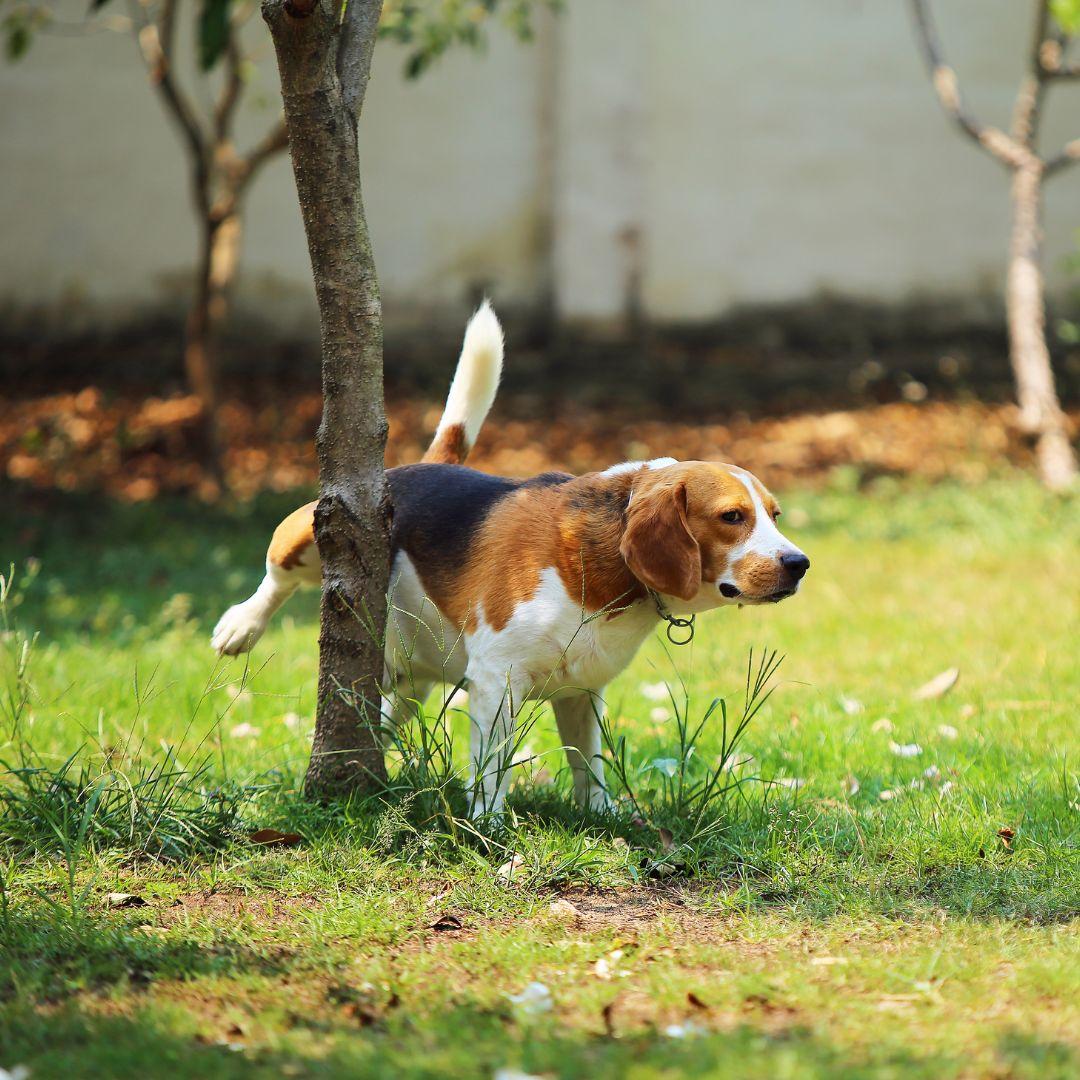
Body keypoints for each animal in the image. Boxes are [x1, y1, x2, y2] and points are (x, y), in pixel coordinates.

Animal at [210, 300, 807, 812]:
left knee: (388, 713)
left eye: (775, 515)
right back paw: (241, 625)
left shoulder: (582, 691)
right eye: (732, 517)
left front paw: (603, 818)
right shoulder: (497, 681)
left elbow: (588, 765)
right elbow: (491, 771)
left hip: (409, 679)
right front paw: (489, 828)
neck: (605, 565)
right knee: (276, 576)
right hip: (310, 532)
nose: (799, 564)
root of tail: (424, 465)